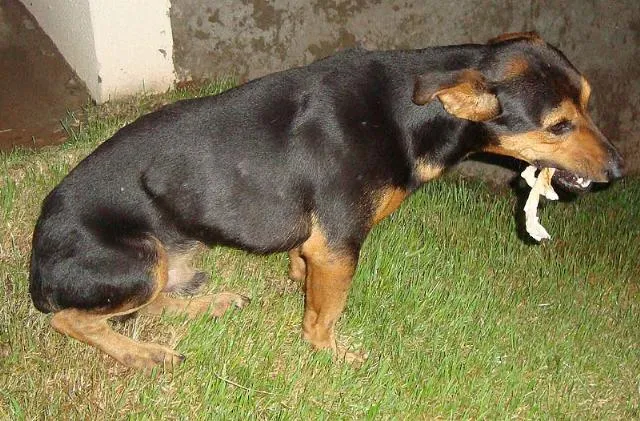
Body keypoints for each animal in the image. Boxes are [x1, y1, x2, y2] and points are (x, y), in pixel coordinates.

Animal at [28, 31, 620, 370]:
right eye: (558, 126)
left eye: (590, 102)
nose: (618, 169)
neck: (409, 114)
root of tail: (36, 267)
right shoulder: (340, 244)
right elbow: (325, 316)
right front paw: (332, 354)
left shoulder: (320, 245)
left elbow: (303, 271)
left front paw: (295, 281)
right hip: (140, 257)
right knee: (72, 320)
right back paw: (142, 353)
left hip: (163, 260)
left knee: (145, 304)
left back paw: (207, 304)